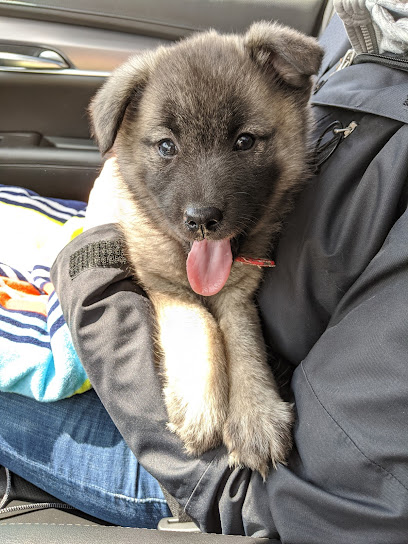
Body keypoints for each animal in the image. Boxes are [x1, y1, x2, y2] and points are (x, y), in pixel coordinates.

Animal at [91, 22, 324, 476]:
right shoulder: (163, 284)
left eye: (245, 141)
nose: (202, 220)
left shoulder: (239, 292)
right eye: (166, 146)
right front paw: (200, 402)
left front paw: (256, 414)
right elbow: (200, 322)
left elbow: (243, 339)